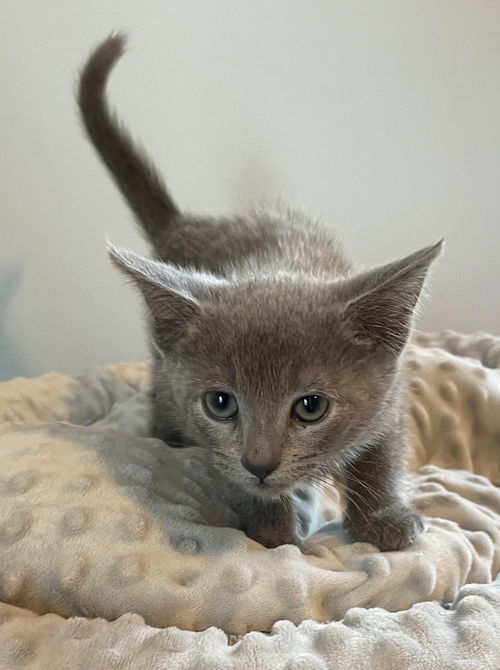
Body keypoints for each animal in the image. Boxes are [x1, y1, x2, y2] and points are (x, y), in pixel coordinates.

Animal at [77, 34, 442, 552]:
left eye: (311, 407)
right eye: (220, 404)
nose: (260, 463)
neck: (280, 263)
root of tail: (189, 223)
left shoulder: (391, 394)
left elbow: (382, 455)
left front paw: (384, 517)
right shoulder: (218, 445)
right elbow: (232, 475)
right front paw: (271, 530)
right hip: (164, 366)